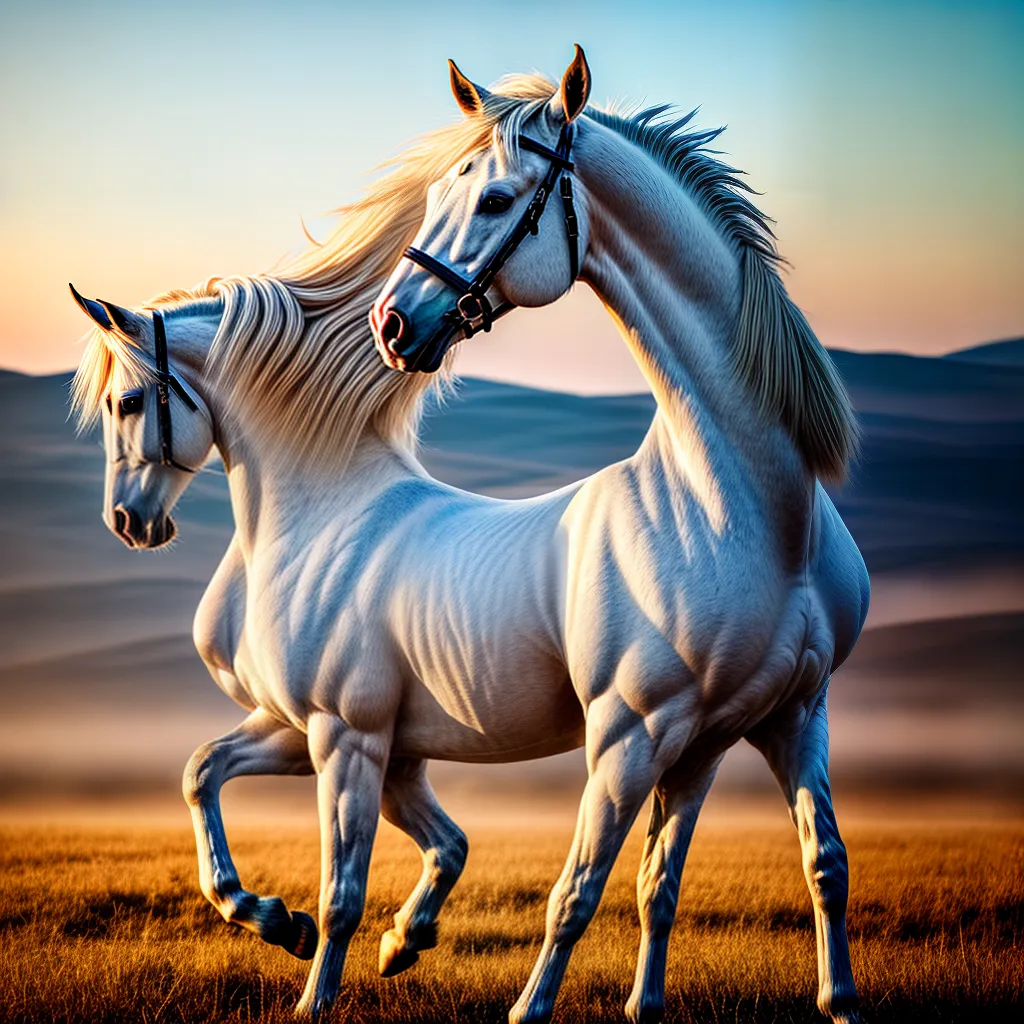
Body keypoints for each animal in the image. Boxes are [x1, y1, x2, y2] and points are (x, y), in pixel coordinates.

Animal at [370, 47, 869, 1024]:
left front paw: (833, 999)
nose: (392, 324)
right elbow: (579, 890)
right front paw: (531, 1008)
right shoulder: (630, 735)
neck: (753, 514)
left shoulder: (773, 721)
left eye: (495, 198)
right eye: (442, 190)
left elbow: (787, 867)